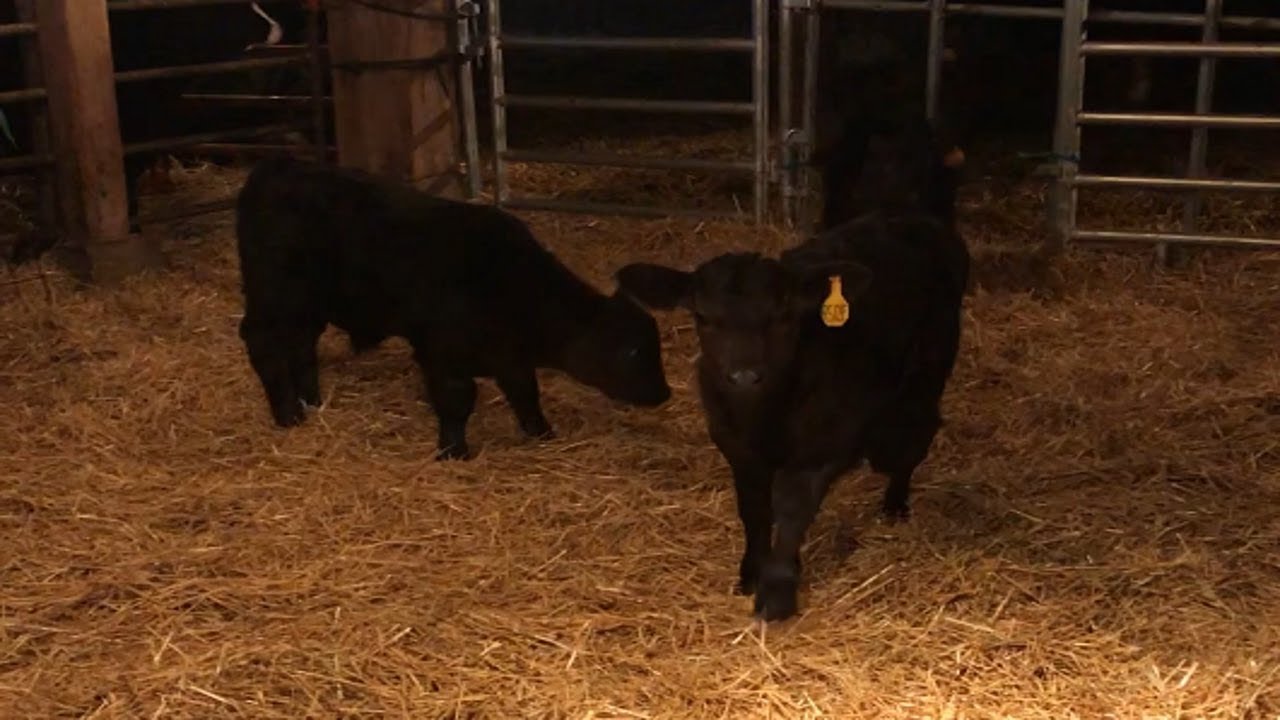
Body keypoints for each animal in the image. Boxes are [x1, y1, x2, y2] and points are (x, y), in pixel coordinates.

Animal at [235, 156, 672, 460]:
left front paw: (542, 432)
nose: (665, 393)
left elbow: (526, 394)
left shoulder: (511, 359)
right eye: (635, 352)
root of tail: (278, 166)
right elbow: (457, 400)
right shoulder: (443, 353)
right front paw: (453, 451)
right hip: (273, 297)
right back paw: (288, 413)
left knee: (301, 348)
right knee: (265, 346)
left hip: (306, 308)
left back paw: (311, 401)